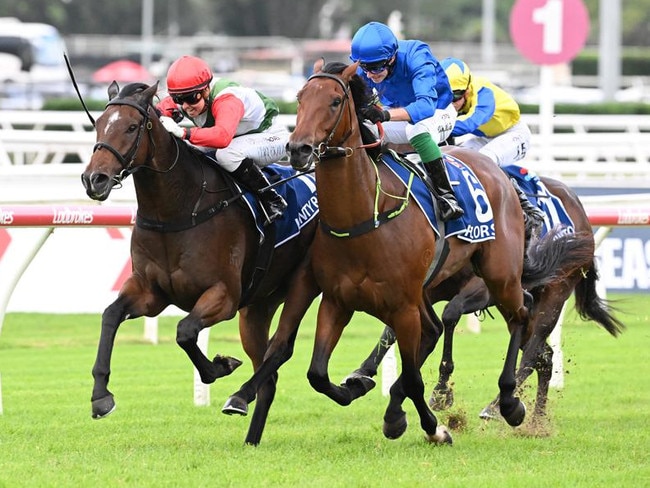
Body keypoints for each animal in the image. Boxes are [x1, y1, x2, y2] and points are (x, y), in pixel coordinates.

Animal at [79, 81, 320, 446]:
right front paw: (101, 396)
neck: (177, 209)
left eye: (132, 127)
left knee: (280, 349)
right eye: (99, 124)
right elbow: (110, 315)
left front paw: (221, 366)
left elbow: (185, 331)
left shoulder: (223, 296)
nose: (95, 179)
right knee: (269, 373)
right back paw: (250, 437)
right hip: (259, 304)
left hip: (301, 285)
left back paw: (239, 397)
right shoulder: (150, 294)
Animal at [286, 60, 568, 442]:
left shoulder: (403, 306)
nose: (298, 148)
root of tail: (499, 173)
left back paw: (509, 403)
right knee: (446, 327)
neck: (365, 214)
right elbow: (317, 374)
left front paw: (435, 428)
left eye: (334, 101)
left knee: (520, 314)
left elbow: (414, 378)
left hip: (499, 274)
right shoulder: (336, 300)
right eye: (300, 98)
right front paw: (361, 389)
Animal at [346, 173, 620, 422]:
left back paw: (497, 406)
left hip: (554, 292)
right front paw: (361, 373)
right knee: (544, 356)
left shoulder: (483, 285)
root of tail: (579, 208)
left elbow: (450, 313)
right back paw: (537, 419)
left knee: (533, 352)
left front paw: (442, 391)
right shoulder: (427, 285)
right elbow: (395, 329)